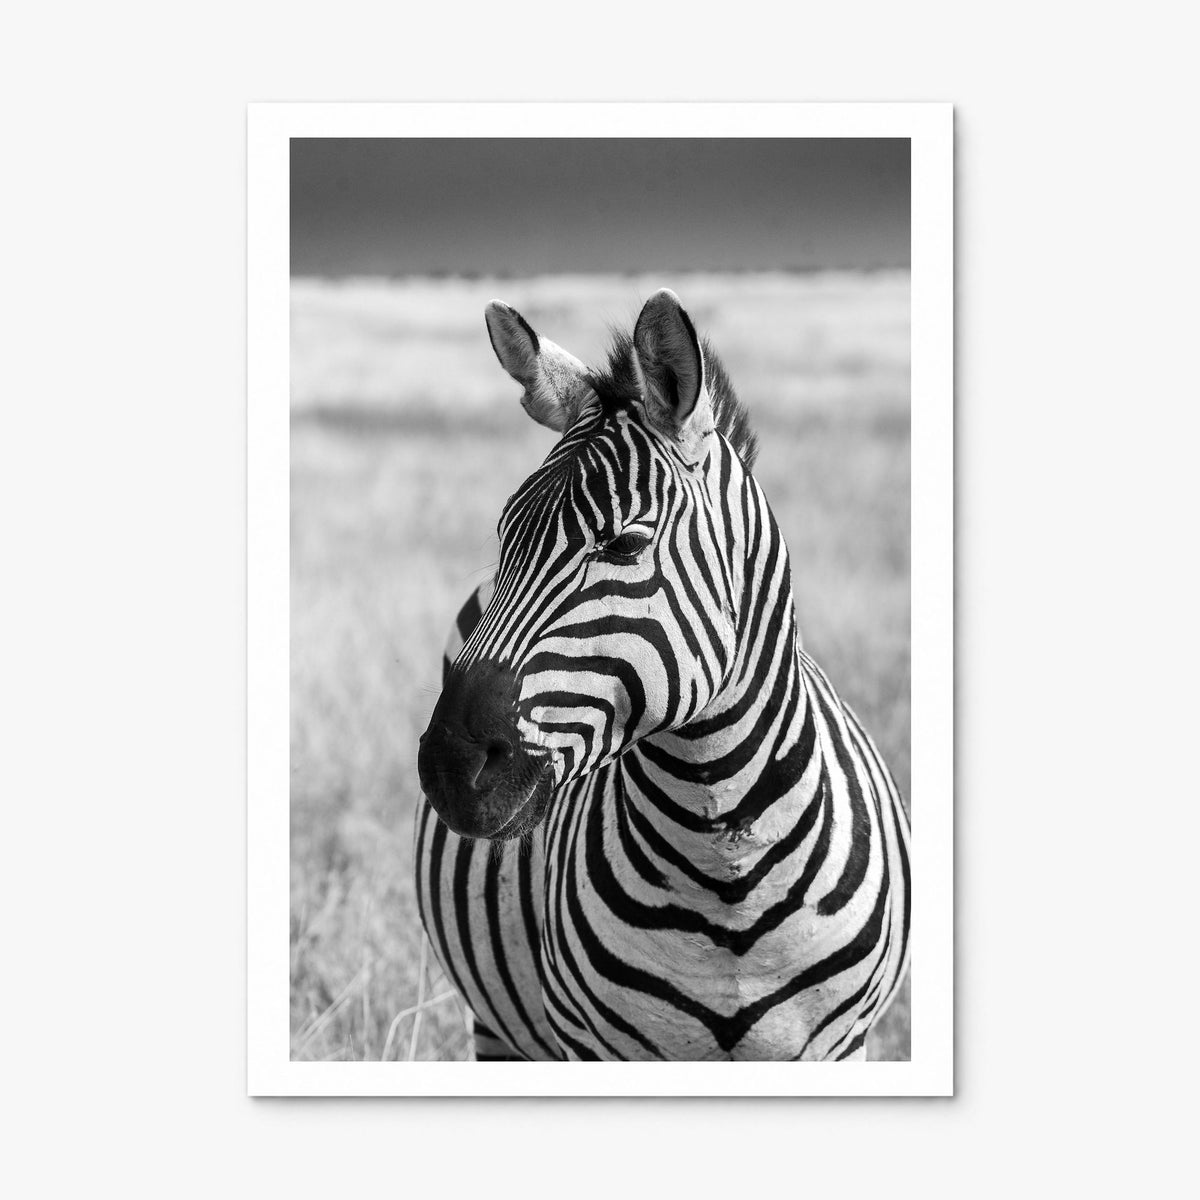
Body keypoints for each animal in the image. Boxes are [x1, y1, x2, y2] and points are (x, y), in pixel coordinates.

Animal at [414, 289, 910, 1061]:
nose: (449, 766)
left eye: (623, 544)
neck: (727, 869)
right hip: (497, 1027)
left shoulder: (843, 1044)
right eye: (504, 538)